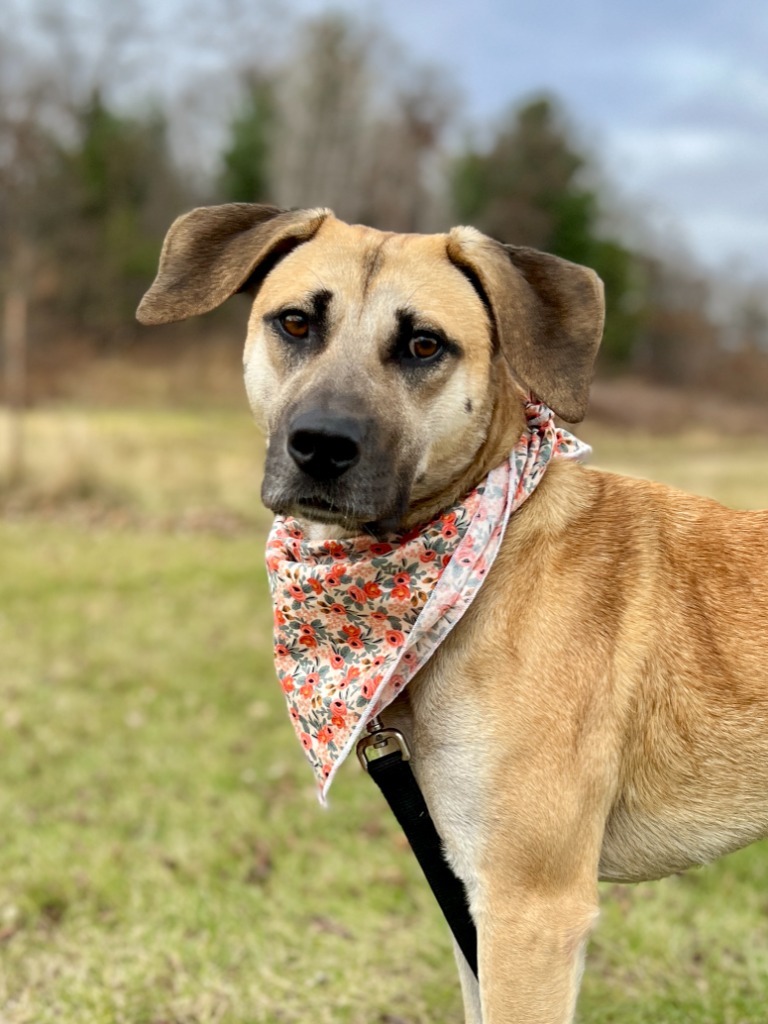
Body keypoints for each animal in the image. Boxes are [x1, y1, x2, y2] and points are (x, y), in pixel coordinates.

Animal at [135, 201, 768, 1024]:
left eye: (424, 344)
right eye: (297, 322)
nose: (321, 445)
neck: (481, 564)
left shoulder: (530, 908)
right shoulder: (468, 886)